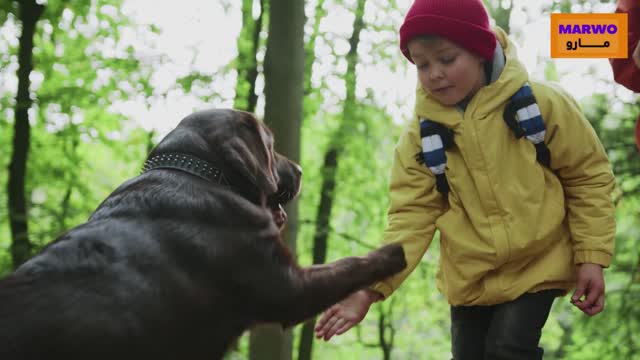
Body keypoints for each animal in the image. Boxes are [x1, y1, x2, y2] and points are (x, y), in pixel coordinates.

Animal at [0, 108, 404, 358]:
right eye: (271, 145)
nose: (302, 170)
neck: (200, 173)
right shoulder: (288, 285)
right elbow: (350, 264)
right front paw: (395, 252)